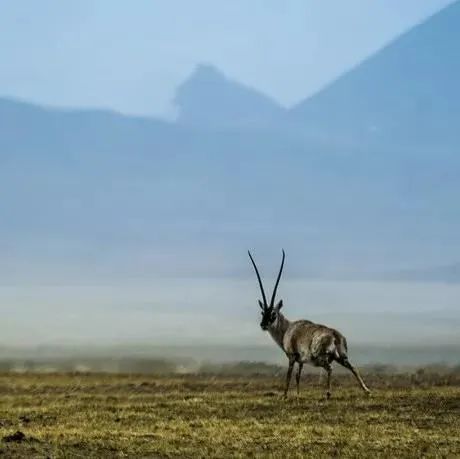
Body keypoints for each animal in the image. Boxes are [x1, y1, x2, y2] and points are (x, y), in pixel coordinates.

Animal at [248, 252, 370, 398]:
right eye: (262, 312)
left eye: (273, 313)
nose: (263, 325)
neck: (287, 329)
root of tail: (334, 334)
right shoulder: (301, 361)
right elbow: (298, 376)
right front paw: (298, 395)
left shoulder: (292, 357)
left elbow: (289, 376)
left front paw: (284, 396)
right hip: (342, 357)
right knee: (354, 368)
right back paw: (367, 391)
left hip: (320, 358)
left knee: (330, 368)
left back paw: (328, 393)